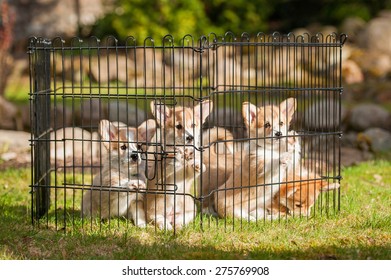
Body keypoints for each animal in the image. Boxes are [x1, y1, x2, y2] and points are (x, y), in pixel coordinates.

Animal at [147, 99, 213, 231]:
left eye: (193, 125)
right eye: (178, 126)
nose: (190, 137)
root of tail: (171, 215)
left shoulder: (188, 174)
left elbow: (194, 167)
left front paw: (197, 164)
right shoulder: (161, 175)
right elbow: (169, 165)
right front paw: (176, 156)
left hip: (190, 210)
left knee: (180, 221)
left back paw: (178, 227)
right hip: (155, 209)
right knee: (158, 218)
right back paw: (166, 226)